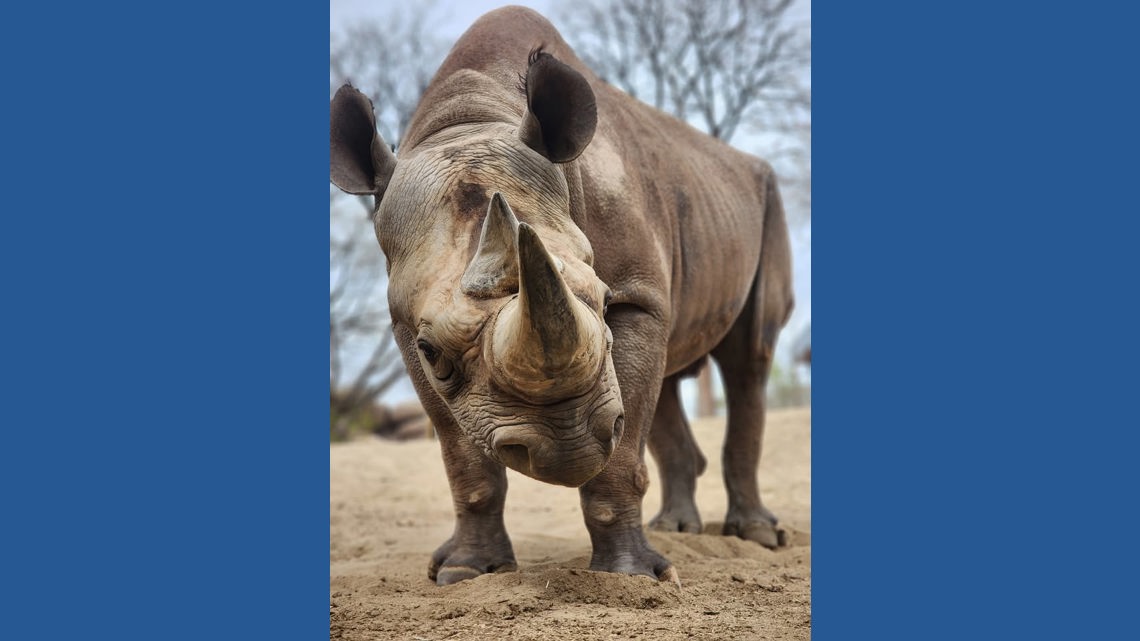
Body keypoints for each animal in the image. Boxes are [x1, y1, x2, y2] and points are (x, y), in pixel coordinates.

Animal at [329, 6, 794, 586]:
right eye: (432, 352)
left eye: (603, 302)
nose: (564, 447)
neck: (472, 119)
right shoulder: (403, 324)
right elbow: (462, 456)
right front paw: (465, 572)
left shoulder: (634, 294)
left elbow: (622, 447)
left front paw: (633, 578)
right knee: (669, 377)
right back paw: (676, 530)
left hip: (766, 201)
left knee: (748, 358)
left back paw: (757, 537)